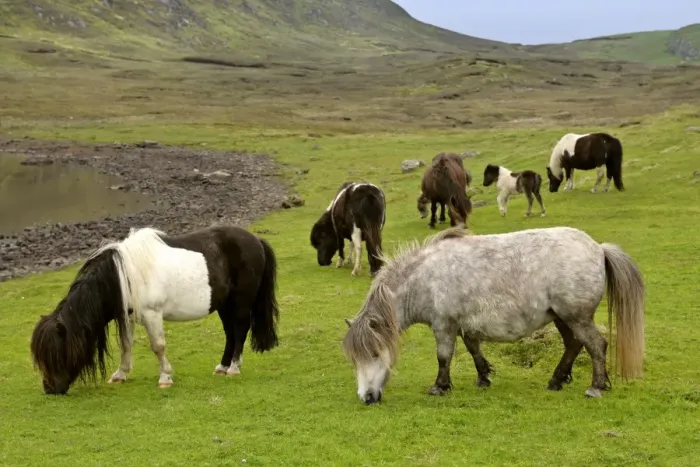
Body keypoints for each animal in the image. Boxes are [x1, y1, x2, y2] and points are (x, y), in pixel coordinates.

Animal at [30, 225, 280, 395]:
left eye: (58, 353)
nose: (50, 388)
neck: (123, 275)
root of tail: (256, 239)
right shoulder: (129, 316)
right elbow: (126, 345)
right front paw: (120, 375)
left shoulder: (152, 314)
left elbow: (158, 347)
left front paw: (165, 378)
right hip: (224, 305)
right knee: (230, 333)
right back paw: (222, 367)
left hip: (241, 302)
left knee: (240, 330)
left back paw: (234, 368)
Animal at [342, 227, 644, 405]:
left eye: (374, 354)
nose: (366, 397)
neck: (424, 277)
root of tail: (598, 248)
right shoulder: (464, 325)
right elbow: (473, 349)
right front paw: (483, 378)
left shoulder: (443, 325)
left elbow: (444, 356)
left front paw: (440, 386)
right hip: (563, 317)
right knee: (573, 345)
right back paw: (556, 380)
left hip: (576, 316)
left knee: (596, 345)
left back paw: (596, 386)